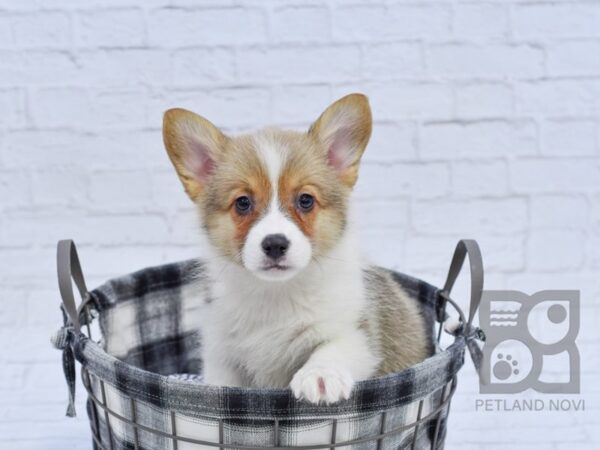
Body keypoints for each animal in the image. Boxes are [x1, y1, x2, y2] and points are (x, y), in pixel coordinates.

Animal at [164, 95, 434, 404]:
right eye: (243, 203)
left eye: (305, 200)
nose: (274, 244)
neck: (277, 293)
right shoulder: (223, 354)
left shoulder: (356, 332)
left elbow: (334, 346)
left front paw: (320, 375)